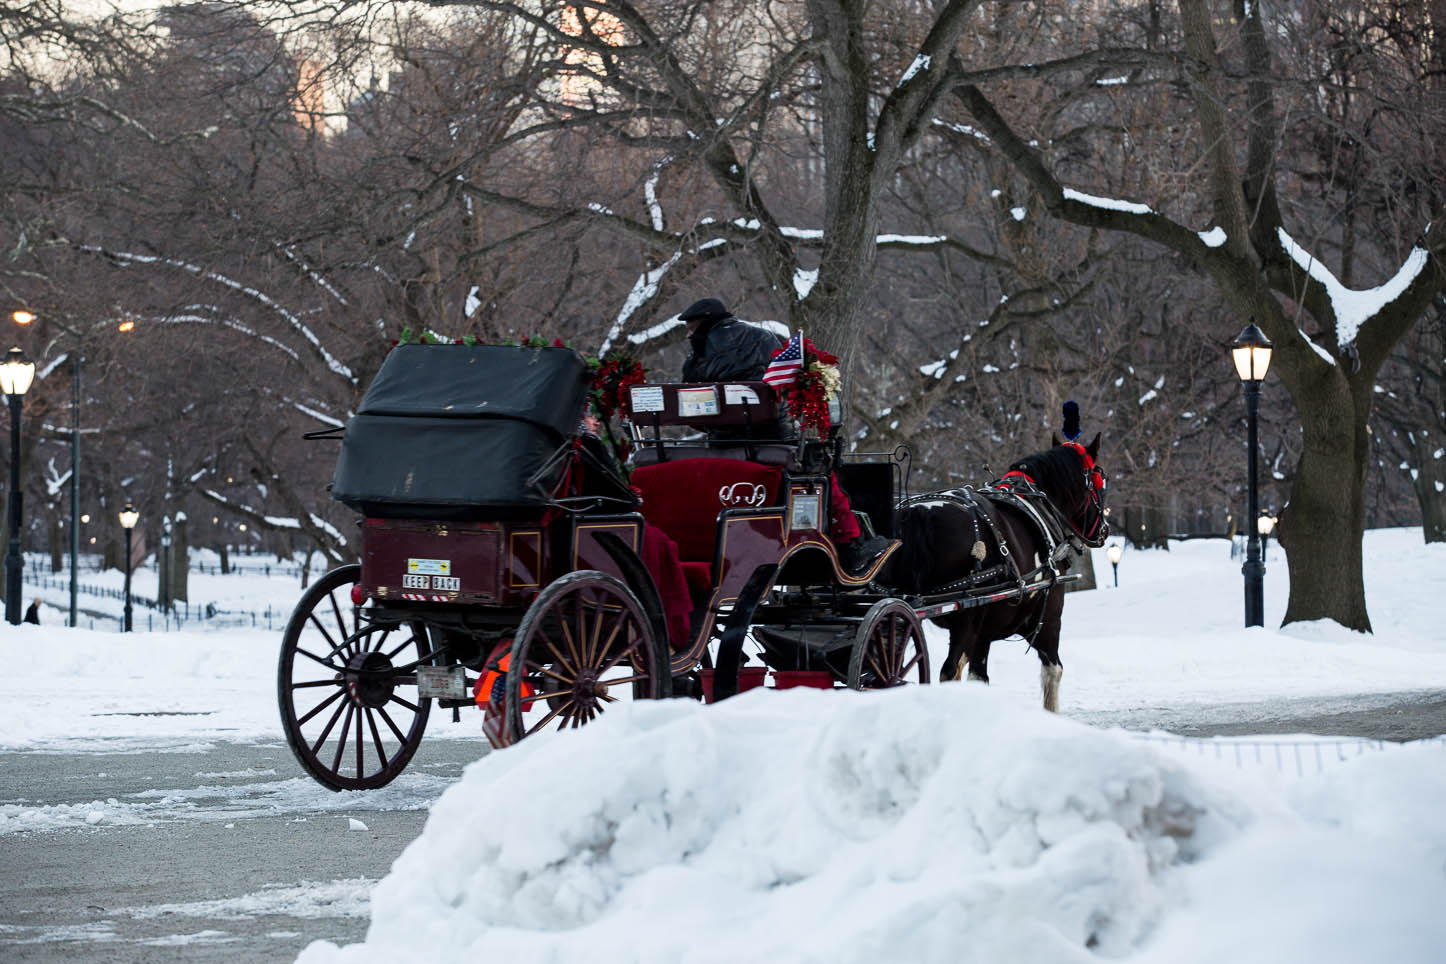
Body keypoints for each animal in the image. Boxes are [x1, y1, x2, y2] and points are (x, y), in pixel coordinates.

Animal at [879, 433, 1104, 713]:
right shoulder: (1048, 617)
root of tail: (919, 512)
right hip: (965, 616)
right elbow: (1053, 672)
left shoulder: (983, 635)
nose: (1104, 530)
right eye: (1100, 480)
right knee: (948, 671)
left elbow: (978, 678)